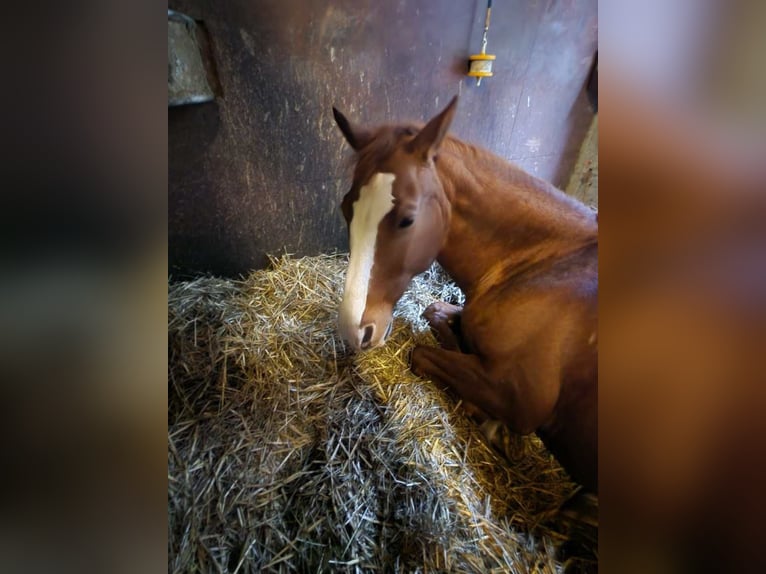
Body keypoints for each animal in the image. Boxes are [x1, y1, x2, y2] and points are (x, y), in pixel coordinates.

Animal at [332, 97, 596, 492]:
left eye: (407, 219)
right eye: (346, 208)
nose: (353, 330)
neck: (546, 260)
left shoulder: (518, 399)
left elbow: (422, 353)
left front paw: (485, 415)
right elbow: (435, 313)